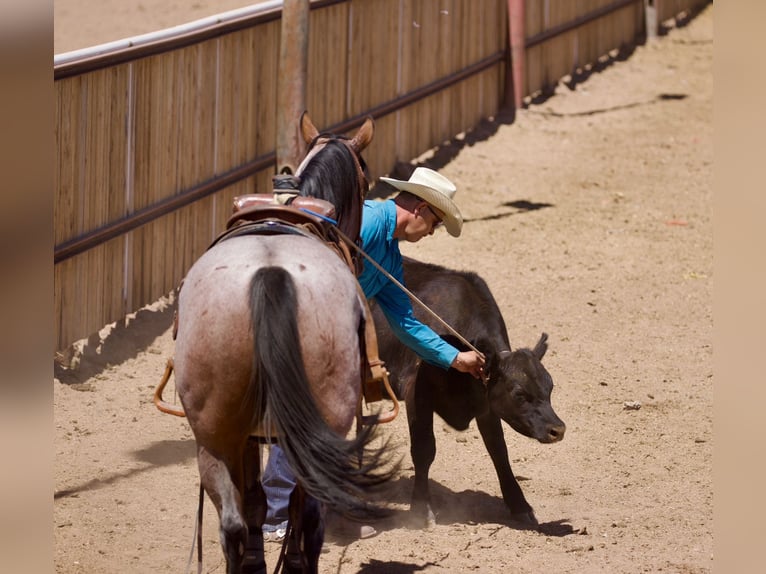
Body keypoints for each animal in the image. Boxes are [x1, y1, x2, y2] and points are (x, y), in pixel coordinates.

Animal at [172, 112, 394, 574]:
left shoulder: (246, 436)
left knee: (233, 523)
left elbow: (255, 502)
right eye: (366, 183)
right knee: (306, 516)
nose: (360, 254)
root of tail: (270, 273)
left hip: (215, 435)